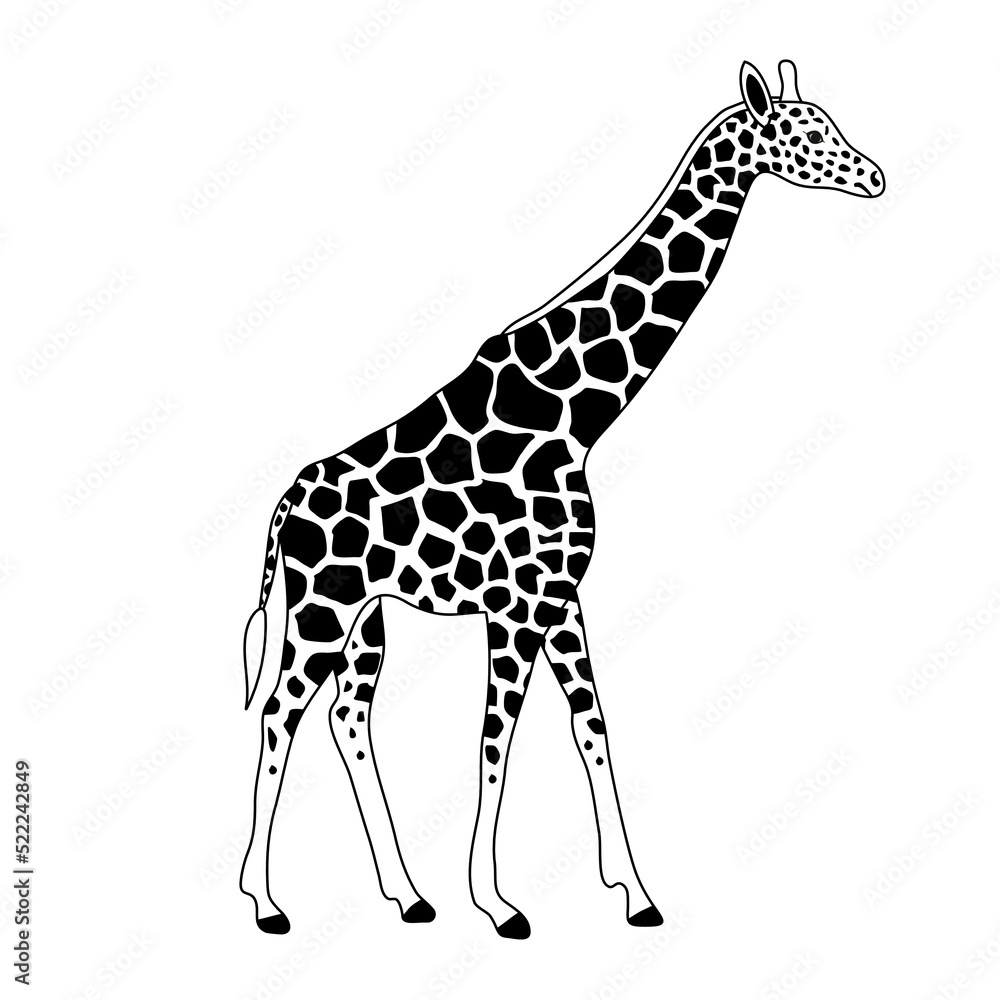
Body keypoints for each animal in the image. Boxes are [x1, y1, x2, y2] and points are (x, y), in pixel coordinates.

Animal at [239, 60, 883, 940]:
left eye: (830, 123)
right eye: (804, 134)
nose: (875, 176)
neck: (575, 412)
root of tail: (281, 509)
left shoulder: (561, 595)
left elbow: (592, 727)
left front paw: (635, 894)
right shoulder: (515, 605)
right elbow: (495, 739)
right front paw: (498, 903)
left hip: (366, 619)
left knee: (348, 717)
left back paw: (408, 895)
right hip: (319, 612)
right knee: (280, 712)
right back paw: (267, 901)